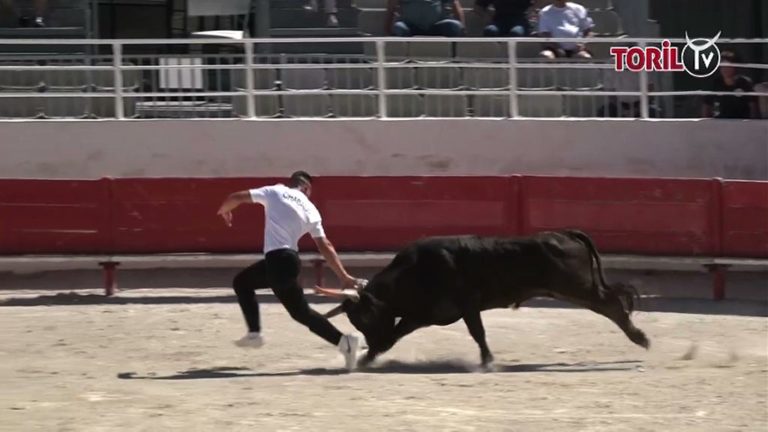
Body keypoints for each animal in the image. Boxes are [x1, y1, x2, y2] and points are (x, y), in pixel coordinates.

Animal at [316, 230, 652, 368]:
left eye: (365, 316)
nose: (367, 343)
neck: (416, 270)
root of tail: (566, 234)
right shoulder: (423, 314)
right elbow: (395, 336)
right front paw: (365, 358)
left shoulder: (464, 306)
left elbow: (478, 333)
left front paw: (488, 362)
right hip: (572, 289)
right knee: (613, 300)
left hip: (577, 287)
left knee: (613, 303)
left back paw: (641, 339)